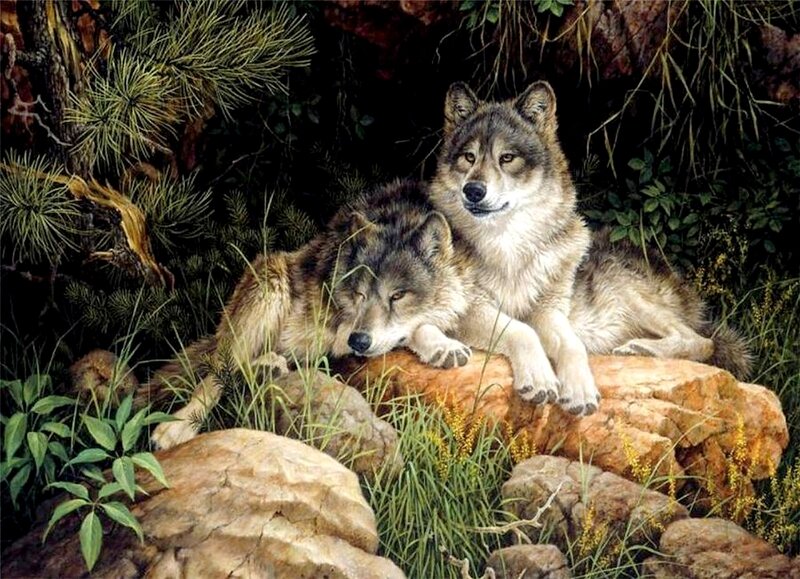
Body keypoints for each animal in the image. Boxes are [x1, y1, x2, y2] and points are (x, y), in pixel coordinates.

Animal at [148, 180, 476, 449]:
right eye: (359, 294)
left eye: (397, 296)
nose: (359, 342)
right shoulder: (340, 329)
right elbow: (415, 328)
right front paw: (444, 347)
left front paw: (443, 344)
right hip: (269, 280)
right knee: (218, 374)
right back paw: (174, 429)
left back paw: (267, 368)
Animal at [427, 80, 750, 416]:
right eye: (468, 157)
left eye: (507, 158)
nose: (473, 190)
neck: (509, 248)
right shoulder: (469, 309)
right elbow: (521, 330)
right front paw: (541, 380)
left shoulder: (551, 310)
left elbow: (572, 344)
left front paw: (580, 392)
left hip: (625, 288)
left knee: (701, 340)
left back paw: (639, 348)